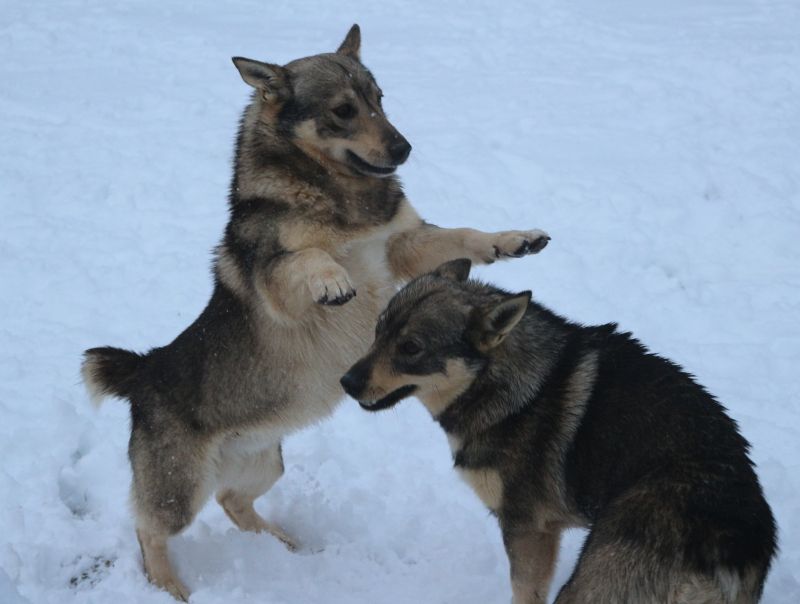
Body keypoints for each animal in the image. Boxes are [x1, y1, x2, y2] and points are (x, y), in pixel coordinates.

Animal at [81, 26, 550, 600]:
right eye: (343, 110)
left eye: (380, 99)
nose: (405, 147)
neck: (338, 195)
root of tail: (142, 368)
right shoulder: (279, 283)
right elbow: (306, 257)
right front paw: (331, 279)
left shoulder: (403, 246)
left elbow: (462, 235)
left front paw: (513, 240)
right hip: (180, 487)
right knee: (148, 530)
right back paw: (172, 589)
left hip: (263, 461)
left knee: (233, 502)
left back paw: (283, 544)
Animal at [341, 259, 777, 603]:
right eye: (379, 330)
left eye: (411, 348)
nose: (346, 382)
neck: (515, 385)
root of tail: (730, 544)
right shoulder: (548, 532)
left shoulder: (525, 531)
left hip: (587, 586)